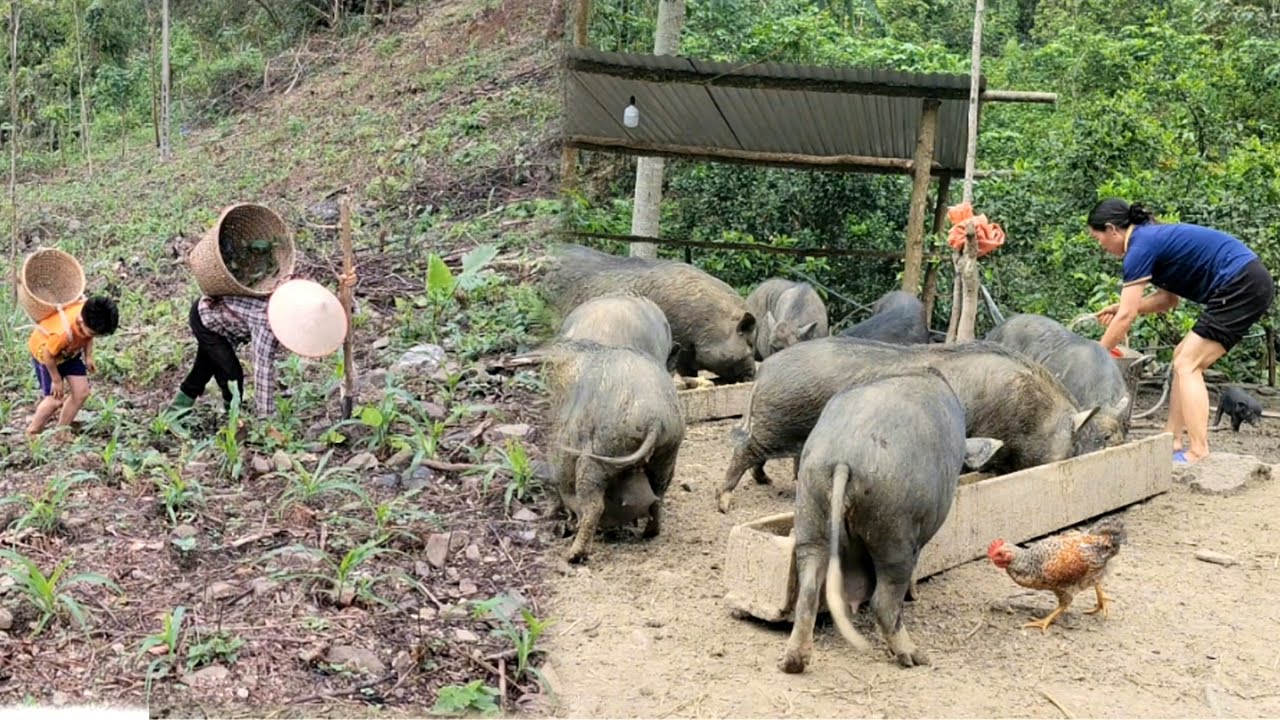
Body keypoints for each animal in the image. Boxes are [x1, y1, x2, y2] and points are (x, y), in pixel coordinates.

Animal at [540, 339, 686, 563]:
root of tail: (655, 419)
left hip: (598, 455)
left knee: (593, 506)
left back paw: (572, 556)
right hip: (668, 452)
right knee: (659, 494)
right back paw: (649, 533)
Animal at [717, 336, 1101, 513]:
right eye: (1071, 447)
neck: (1026, 412)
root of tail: (767, 368)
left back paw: (766, 481)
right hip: (776, 423)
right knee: (744, 449)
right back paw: (724, 503)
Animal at [780, 370, 1004, 672]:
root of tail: (843, 458)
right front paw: (914, 596)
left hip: (810, 506)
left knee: (809, 589)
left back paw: (793, 662)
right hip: (892, 527)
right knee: (884, 600)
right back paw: (916, 657)